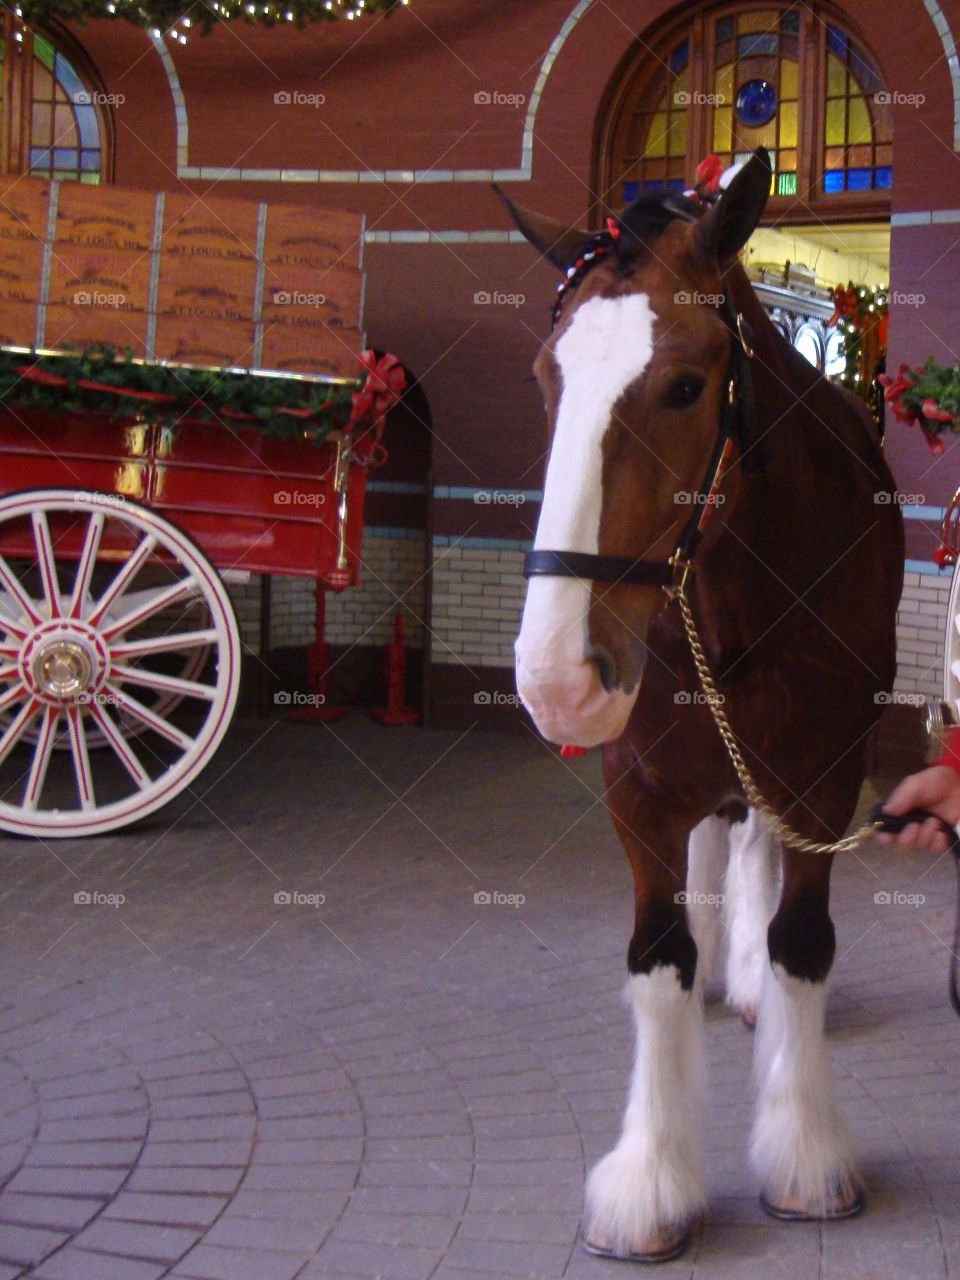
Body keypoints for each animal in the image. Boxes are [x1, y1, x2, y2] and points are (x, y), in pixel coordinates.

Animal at [506, 152, 906, 1259]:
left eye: (686, 386)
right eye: (548, 378)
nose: (556, 676)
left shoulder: (822, 775)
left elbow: (802, 942)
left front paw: (806, 1155)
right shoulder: (638, 790)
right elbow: (658, 960)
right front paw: (648, 1182)